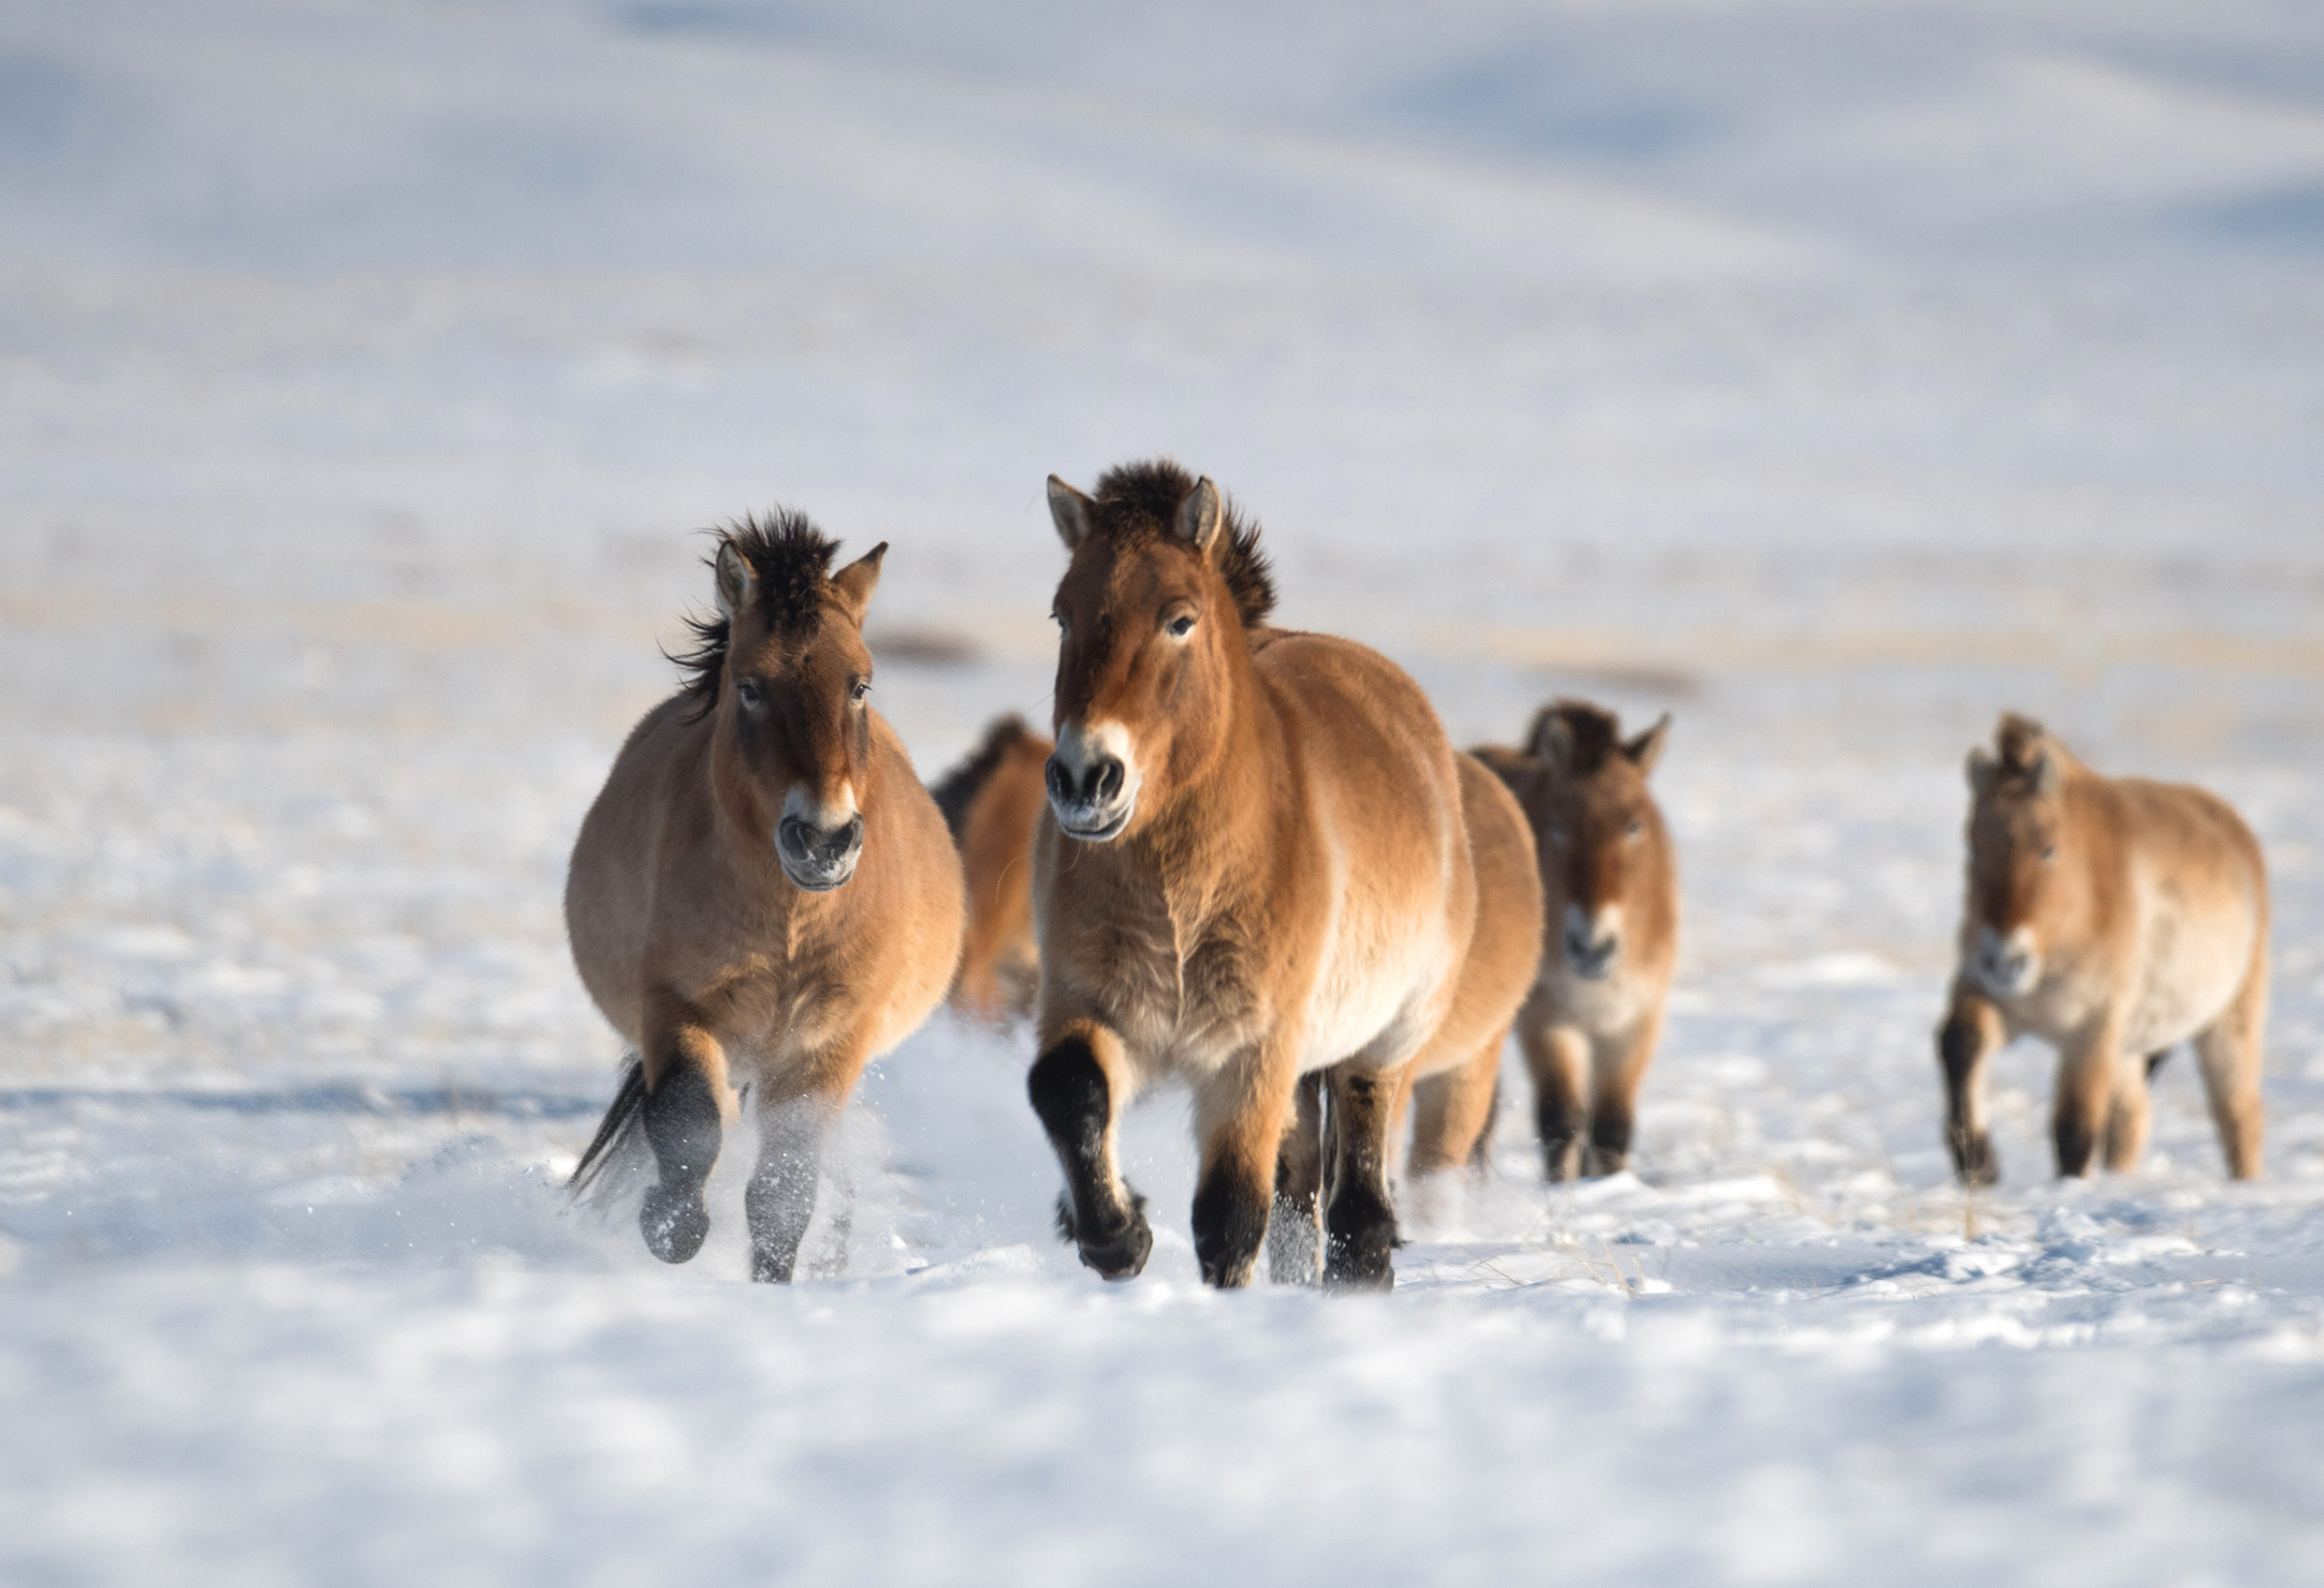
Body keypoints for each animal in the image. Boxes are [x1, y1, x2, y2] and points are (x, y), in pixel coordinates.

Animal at [1477, 707, 1682, 1181]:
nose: (1592, 947)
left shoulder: (1635, 1023)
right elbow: (1560, 1119)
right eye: (1556, 826)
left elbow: (1610, 1126)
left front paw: (1609, 1186)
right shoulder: (1548, 1021)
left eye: (1634, 826)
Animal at [1933, 716, 2258, 1185]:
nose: (2005, 961)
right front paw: (1978, 1161)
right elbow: (1960, 1044)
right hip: (2131, 1047)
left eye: (2048, 849)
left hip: (2228, 1025)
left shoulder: (2092, 1029)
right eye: (1973, 847)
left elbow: (2075, 1126)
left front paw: (2069, 1189)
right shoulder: (1991, 998)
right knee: (2131, 1120)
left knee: (2239, 1118)